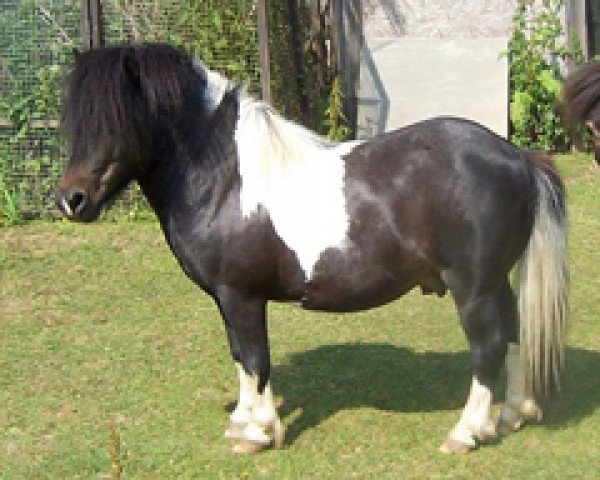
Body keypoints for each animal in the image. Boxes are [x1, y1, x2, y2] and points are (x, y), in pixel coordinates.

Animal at [56, 44, 568, 454]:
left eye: (117, 120)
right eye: (76, 120)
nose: (70, 200)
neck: (225, 180)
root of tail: (517, 157)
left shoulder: (241, 296)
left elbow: (255, 358)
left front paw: (259, 432)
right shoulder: (226, 299)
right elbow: (240, 356)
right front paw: (241, 420)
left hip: (472, 288)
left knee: (488, 346)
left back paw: (465, 432)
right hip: (495, 282)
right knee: (515, 335)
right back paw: (511, 415)